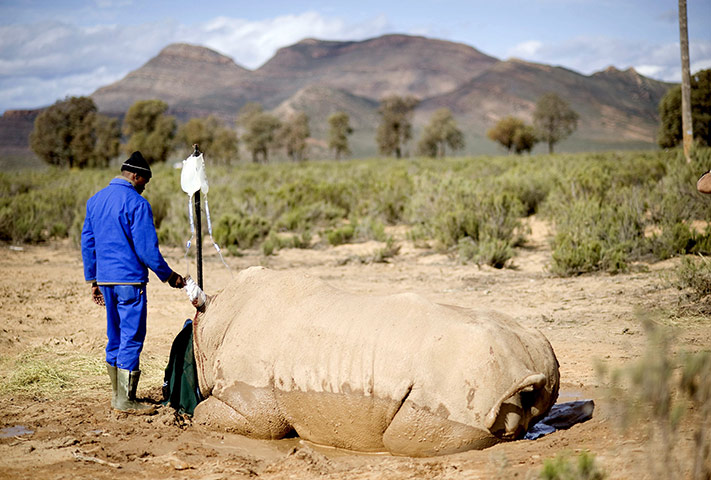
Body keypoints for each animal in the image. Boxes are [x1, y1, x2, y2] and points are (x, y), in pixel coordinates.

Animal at [192, 266, 559, 456]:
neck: (214, 320)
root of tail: (527, 368)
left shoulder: (253, 408)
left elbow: (205, 414)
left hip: (466, 381)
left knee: (402, 439)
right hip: (525, 357)